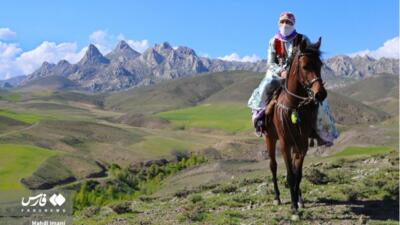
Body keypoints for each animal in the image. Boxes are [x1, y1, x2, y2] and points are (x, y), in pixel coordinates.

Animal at [264, 37, 326, 220]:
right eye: (305, 66)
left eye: (320, 64)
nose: (321, 94)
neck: (294, 106)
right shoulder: (285, 143)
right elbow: (291, 175)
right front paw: (293, 209)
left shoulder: (302, 143)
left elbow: (297, 174)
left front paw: (298, 202)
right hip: (270, 138)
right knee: (273, 165)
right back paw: (277, 197)